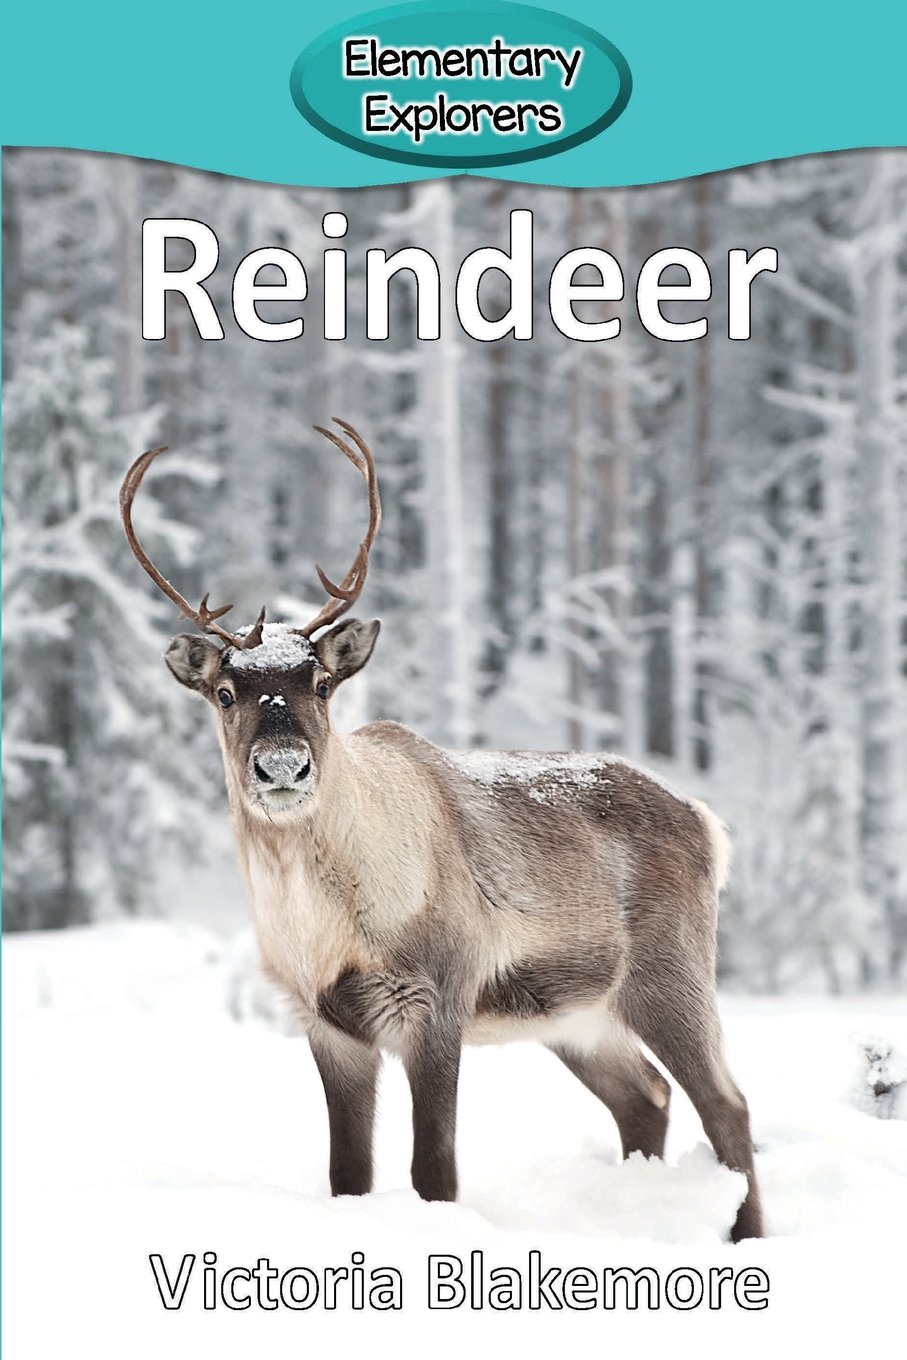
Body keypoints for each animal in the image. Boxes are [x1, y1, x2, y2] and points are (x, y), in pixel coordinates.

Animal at [120, 418, 763, 1242]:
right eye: (226, 692)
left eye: (321, 684)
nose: (283, 767)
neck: (325, 924)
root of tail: (705, 823)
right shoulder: (327, 1024)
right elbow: (348, 1174)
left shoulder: (435, 999)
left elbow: (435, 1171)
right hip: (578, 1017)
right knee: (646, 1097)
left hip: (669, 975)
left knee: (727, 1104)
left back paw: (743, 1234)